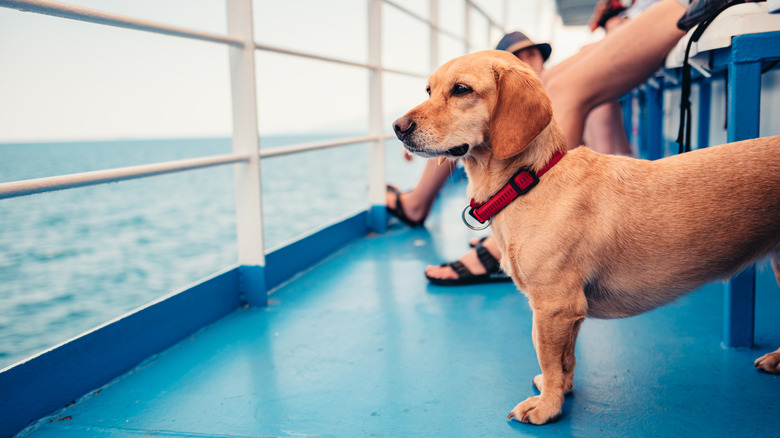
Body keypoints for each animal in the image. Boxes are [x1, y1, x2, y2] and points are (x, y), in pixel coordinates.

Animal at [394, 50, 780, 424]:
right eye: (428, 90)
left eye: (461, 90)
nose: (398, 127)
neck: (529, 179)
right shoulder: (569, 312)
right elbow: (566, 360)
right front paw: (561, 392)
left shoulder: (554, 306)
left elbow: (548, 358)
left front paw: (546, 407)